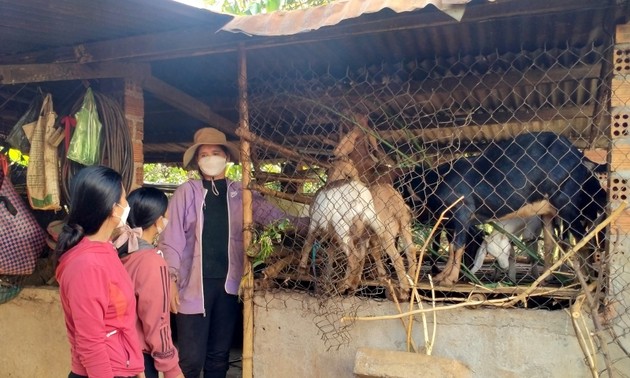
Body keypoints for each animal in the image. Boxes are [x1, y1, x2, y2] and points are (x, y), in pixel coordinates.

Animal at [398, 131, 608, 284]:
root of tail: (578, 156)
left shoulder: (462, 212)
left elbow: (457, 246)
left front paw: (449, 278)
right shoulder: (452, 221)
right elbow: (453, 247)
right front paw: (443, 275)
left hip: (568, 204)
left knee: (585, 240)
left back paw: (586, 280)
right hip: (549, 212)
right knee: (550, 245)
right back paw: (545, 279)